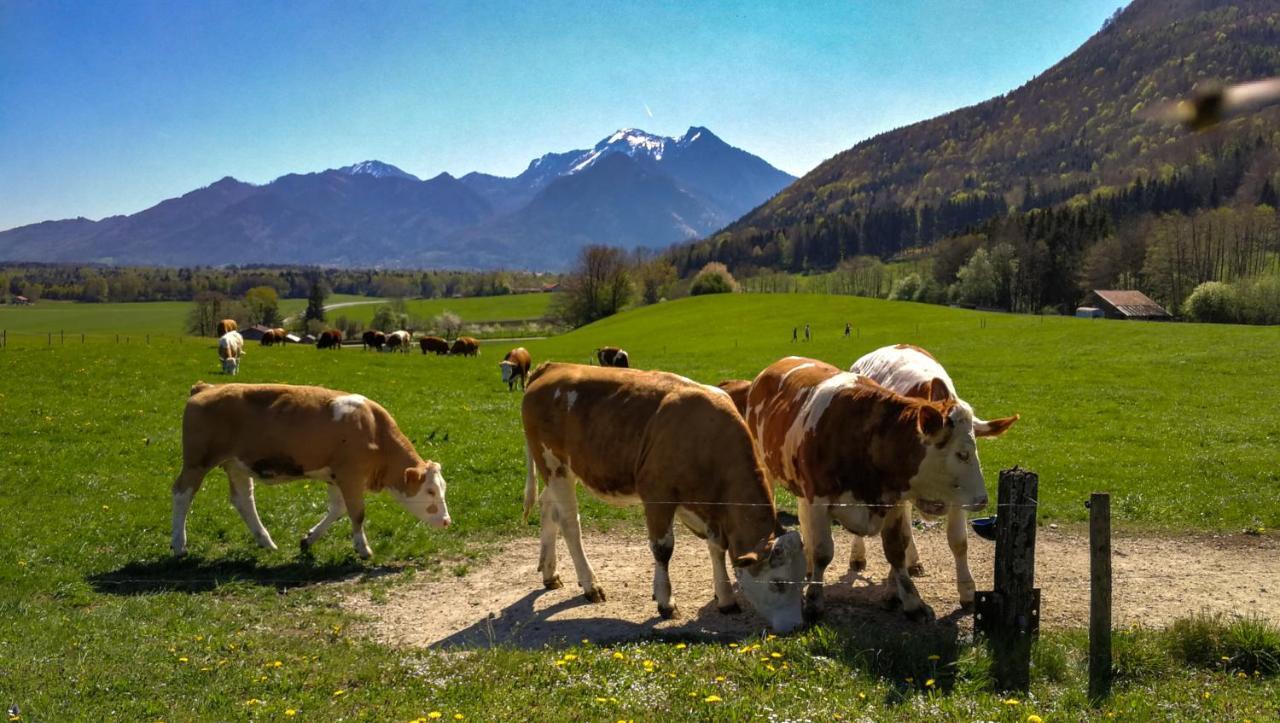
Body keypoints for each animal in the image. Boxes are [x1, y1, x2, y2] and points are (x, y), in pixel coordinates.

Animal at [167, 383, 453, 557]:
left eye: (443, 489)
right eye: (430, 491)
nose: (447, 521)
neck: (373, 430)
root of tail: (207, 387)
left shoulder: (336, 477)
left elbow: (338, 510)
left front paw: (309, 538)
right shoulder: (350, 476)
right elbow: (357, 513)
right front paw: (363, 548)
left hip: (236, 465)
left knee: (243, 500)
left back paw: (265, 541)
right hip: (197, 462)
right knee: (182, 494)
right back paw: (179, 544)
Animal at [517, 363, 798, 629]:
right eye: (778, 582)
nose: (798, 626)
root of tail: (554, 366)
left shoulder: (711, 509)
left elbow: (717, 547)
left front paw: (726, 597)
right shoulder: (657, 494)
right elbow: (663, 549)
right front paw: (666, 602)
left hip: (559, 471)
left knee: (548, 508)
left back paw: (550, 573)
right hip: (554, 465)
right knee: (569, 524)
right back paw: (590, 584)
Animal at [742, 355, 988, 619]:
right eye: (962, 454)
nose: (983, 499)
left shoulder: (893, 503)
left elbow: (896, 550)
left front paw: (912, 602)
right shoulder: (818, 500)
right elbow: (822, 552)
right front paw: (815, 600)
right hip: (766, 468)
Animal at [849, 342, 1018, 609]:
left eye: (971, 452)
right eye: (961, 453)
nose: (982, 500)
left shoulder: (959, 493)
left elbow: (958, 541)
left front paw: (967, 590)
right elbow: (897, 539)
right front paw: (893, 588)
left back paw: (914, 561)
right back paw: (858, 556)